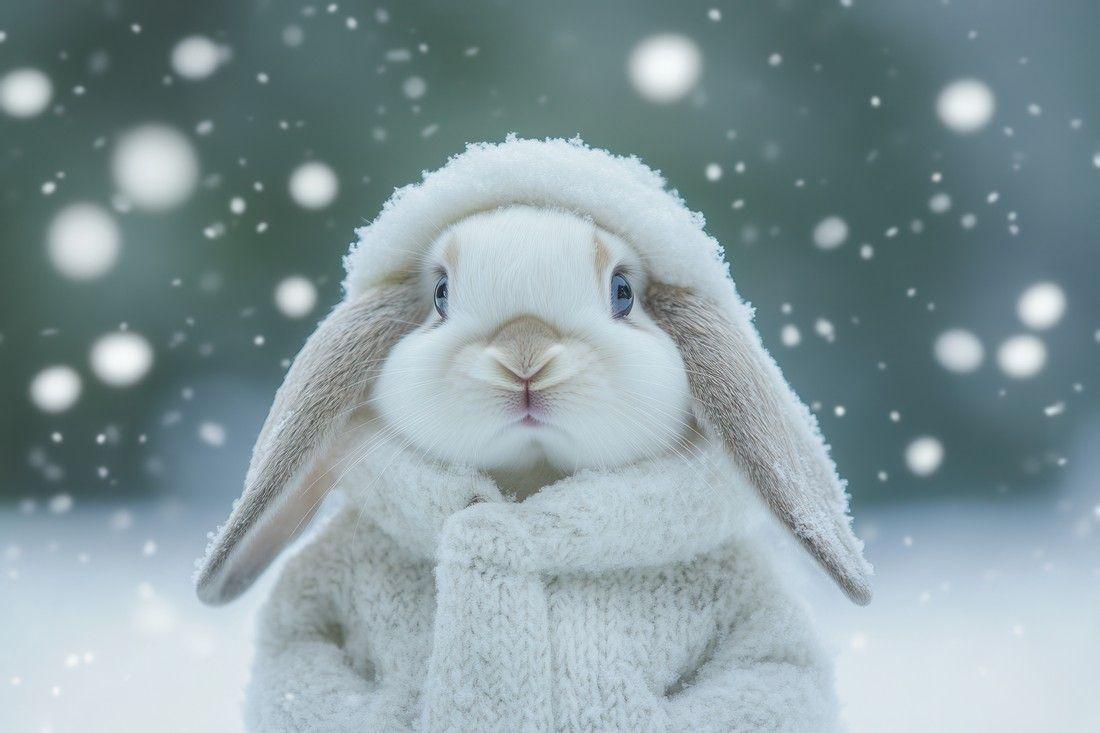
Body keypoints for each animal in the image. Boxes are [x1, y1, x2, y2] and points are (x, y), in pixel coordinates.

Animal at [195, 136, 872, 732]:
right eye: (439, 294)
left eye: (622, 292)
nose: (524, 355)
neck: (528, 487)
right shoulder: (311, 614)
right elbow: (307, 673)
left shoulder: (756, 625)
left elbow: (765, 674)